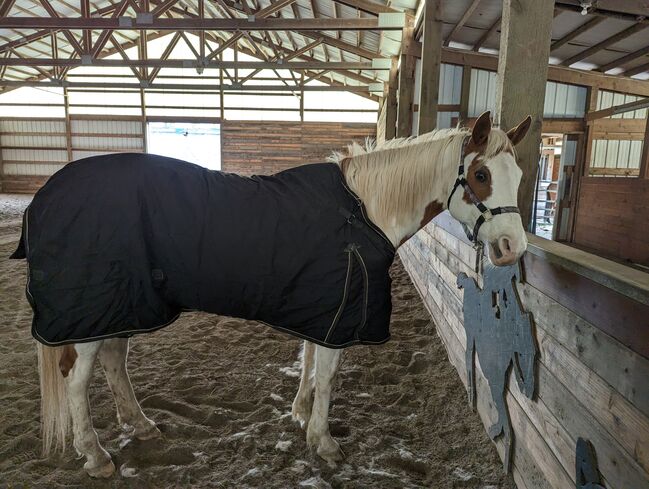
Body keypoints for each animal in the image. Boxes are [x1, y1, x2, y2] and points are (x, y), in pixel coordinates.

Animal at [11, 111, 532, 476]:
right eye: (481, 175)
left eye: (522, 178)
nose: (513, 248)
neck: (362, 210)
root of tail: (45, 197)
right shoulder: (338, 313)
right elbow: (327, 374)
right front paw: (324, 442)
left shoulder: (323, 307)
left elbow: (308, 361)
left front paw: (300, 415)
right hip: (91, 312)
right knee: (76, 379)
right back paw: (95, 455)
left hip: (123, 305)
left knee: (114, 361)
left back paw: (140, 426)